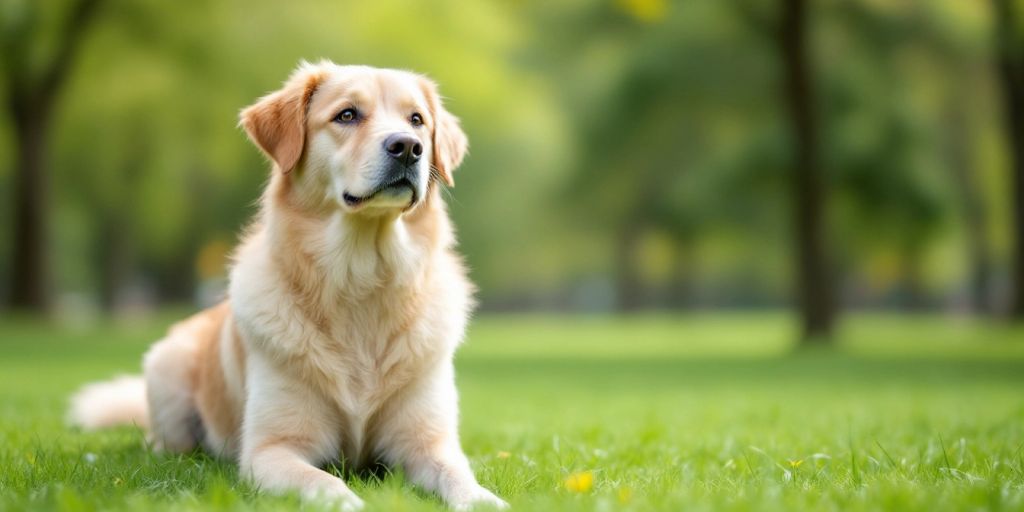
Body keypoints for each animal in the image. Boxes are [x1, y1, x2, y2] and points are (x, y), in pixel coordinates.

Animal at [68, 60, 507, 512]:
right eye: (347, 115)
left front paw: (484, 500)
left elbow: (461, 478)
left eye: (416, 120)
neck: (361, 279)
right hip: (167, 374)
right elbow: (327, 483)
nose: (407, 147)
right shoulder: (272, 449)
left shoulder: (429, 443)